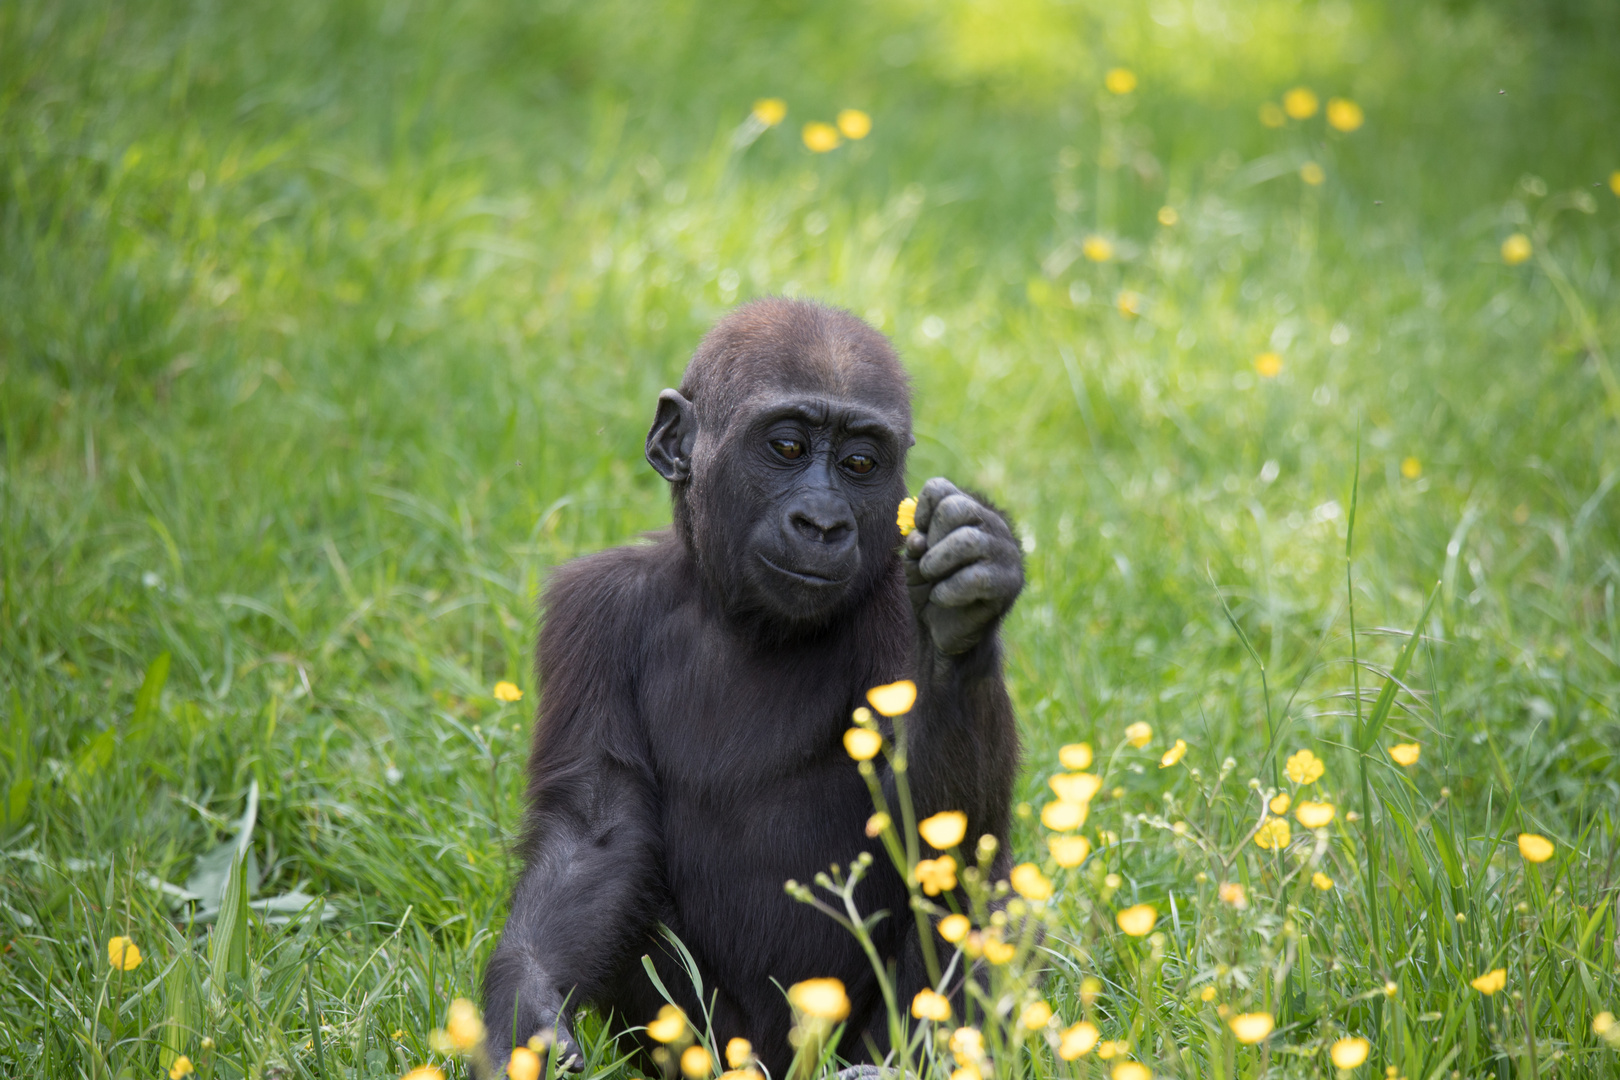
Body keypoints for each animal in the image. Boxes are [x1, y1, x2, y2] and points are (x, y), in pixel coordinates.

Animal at [479, 296, 1023, 1075]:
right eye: (787, 448)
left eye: (861, 463)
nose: (821, 522)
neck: (738, 612)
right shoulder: (594, 611)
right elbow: (594, 834)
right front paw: (525, 1006)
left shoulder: (894, 594)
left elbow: (943, 834)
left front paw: (962, 629)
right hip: (719, 1045)